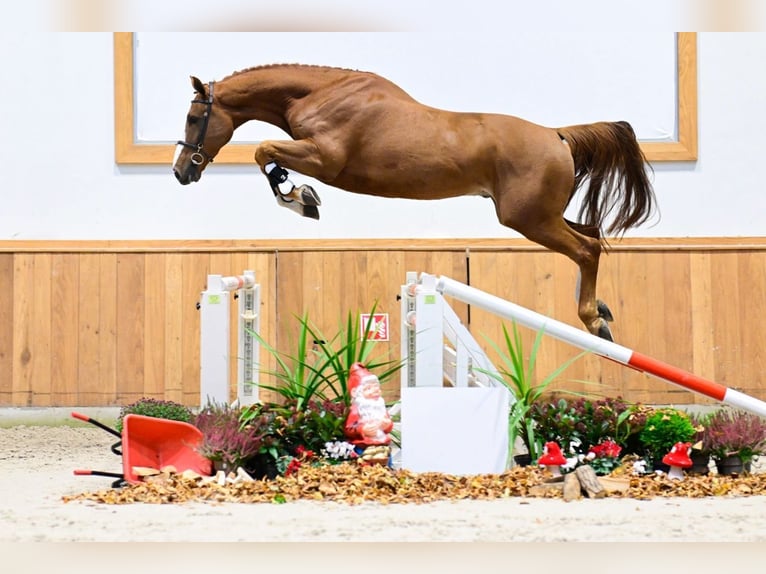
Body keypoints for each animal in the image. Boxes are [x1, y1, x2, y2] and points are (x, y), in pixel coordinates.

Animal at [176, 64, 660, 342]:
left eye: (195, 117)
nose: (183, 172)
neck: (320, 94)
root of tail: (556, 135)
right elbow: (266, 154)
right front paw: (302, 197)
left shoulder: (324, 158)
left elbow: (264, 153)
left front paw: (300, 199)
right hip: (541, 215)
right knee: (592, 235)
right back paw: (600, 311)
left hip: (529, 218)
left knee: (588, 247)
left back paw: (593, 321)